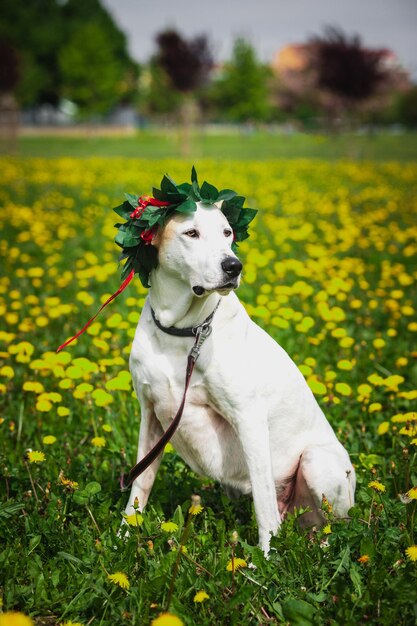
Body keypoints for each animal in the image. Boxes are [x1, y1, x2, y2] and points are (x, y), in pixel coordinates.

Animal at [124, 200, 354, 552]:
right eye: (191, 233)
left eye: (227, 232)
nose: (234, 266)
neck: (184, 330)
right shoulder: (151, 415)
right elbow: (140, 482)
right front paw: (122, 538)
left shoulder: (249, 420)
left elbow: (263, 503)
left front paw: (266, 558)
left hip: (318, 463)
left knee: (332, 528)